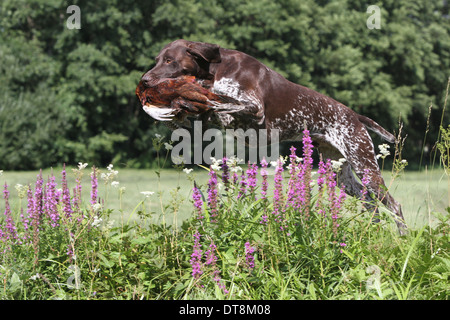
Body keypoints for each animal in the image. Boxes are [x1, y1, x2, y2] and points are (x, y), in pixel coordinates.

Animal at [141, 40, 408, 235]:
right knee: (370, 202)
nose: (144, 80)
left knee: (393, 205)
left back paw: (403, 238)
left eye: (169, 60)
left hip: (364, 163)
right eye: (157, 60)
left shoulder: (253, 108)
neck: (214, 70)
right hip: (340, 173)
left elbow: (218, 103)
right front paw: (178, 110)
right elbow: (201, 110)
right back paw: (370, 234)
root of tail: (355, 116)